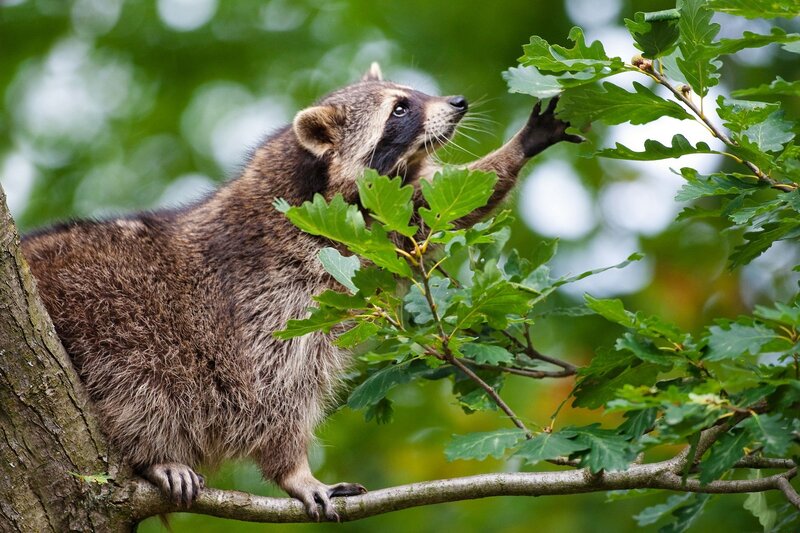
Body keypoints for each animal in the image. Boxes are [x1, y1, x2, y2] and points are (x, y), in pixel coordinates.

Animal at [21, 63, 580, 521]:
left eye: (414, 92)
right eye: (400, 108)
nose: (458, 103)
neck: (312, 182)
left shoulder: (383, 224)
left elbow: (445, 204)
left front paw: (518, 146)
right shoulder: (272, 290)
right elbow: (272, 389)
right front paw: (294, 471)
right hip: (107, 310)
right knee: (140, 381)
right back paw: (154, 456)